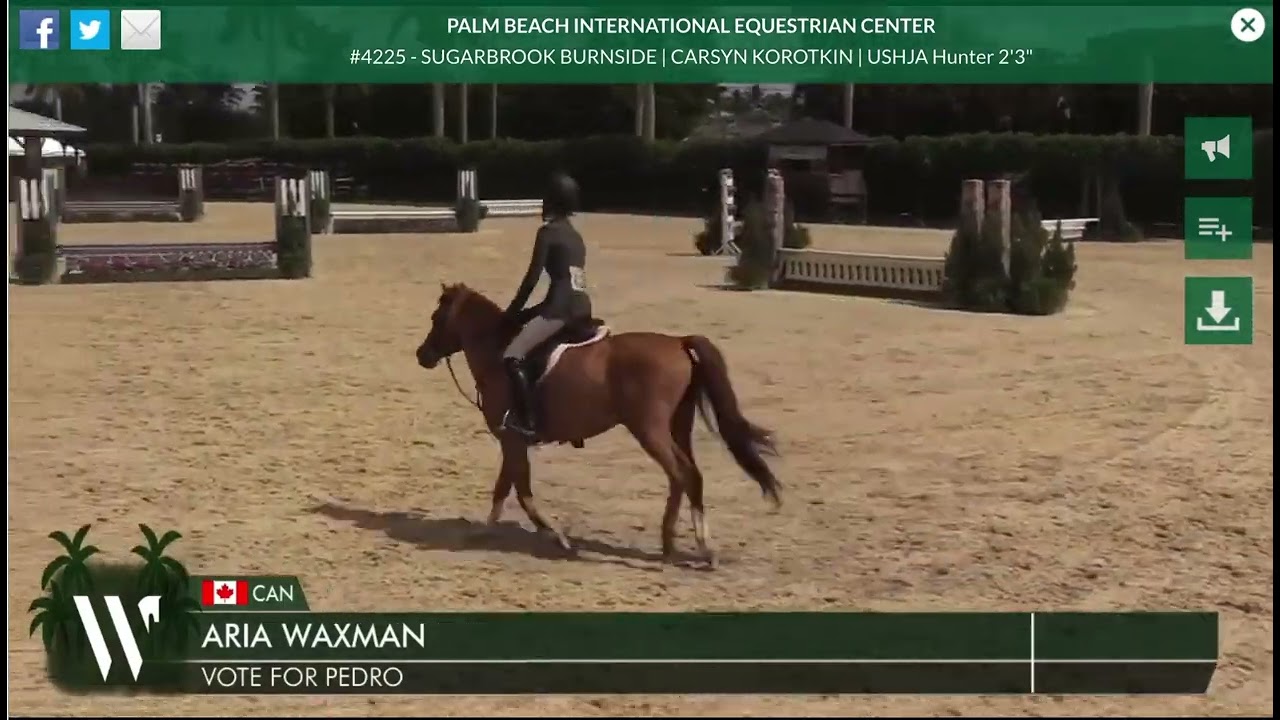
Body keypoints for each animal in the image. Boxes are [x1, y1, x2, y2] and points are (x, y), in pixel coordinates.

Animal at [414, 283, 781, 567]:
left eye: (436, 318)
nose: (422, 355)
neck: (497, 353)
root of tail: (678, 342)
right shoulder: (513, 440)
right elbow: (509, 486)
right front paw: (490, 529)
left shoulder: (511, 438)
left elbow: (518, 489)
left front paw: (553, 536)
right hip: (677, 426)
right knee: (687, 476)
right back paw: (677, 544)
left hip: (649, 430)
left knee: (683, 474)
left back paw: (693, 548)